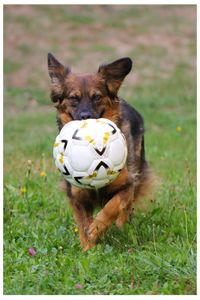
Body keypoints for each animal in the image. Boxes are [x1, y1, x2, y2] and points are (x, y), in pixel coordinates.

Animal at [47, 53, 155, 251]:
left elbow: (113, 207)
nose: (85, 117)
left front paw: (97, 227)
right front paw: (88, 248)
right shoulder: (77, 196)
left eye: (97, 97)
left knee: (125, 209)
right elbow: (83, 224)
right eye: (73, 98)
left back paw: (122, 226)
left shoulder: (127, 185)